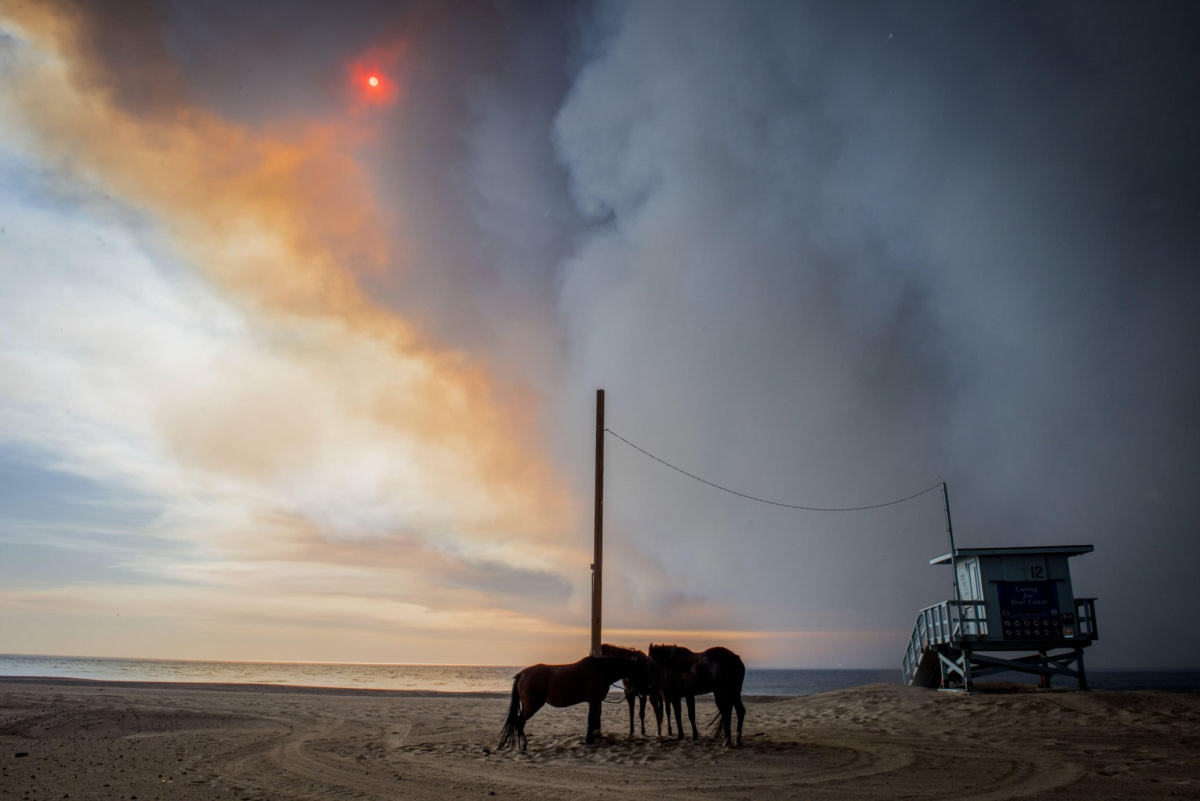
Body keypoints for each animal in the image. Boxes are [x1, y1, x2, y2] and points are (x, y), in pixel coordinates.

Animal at [494, 657, 652, 753]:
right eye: (641, 670)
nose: (646, 690)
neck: (600, 670)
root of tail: (522, 673)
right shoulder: (594, 701)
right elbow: (590, 720)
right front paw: (589, 740)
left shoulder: (593, 702)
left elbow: (589, 720)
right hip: (532, 706)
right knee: (519, 722)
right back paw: (524, 744)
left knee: (519, 722)